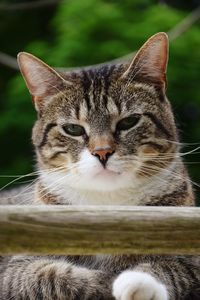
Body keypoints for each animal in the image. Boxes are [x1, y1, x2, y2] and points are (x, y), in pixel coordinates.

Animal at [0, 32, 199, 300]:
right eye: (72, 129)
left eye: (129, 122)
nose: (102, 152)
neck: (106, 204)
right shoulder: (14, 269)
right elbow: (48, 277)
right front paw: (106, 281)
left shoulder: (190, 258)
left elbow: (172, 269)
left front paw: (136, 282)